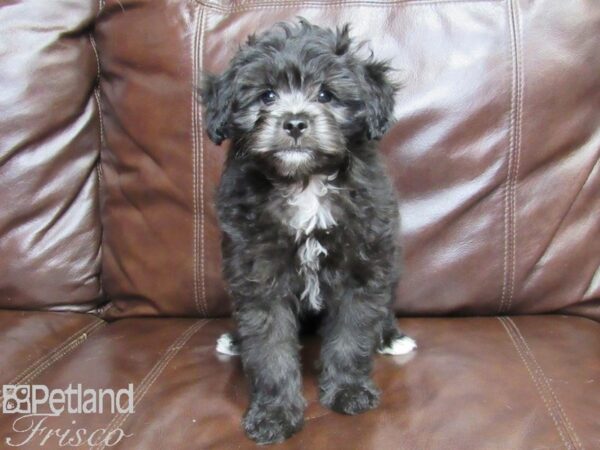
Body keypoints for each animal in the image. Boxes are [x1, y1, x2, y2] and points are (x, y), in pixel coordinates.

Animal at [204, 20, 414, 442]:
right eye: (266, 96)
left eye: (326, 95)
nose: (295, 122)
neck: (305, 182)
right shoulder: (259, 277)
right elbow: (269, 349)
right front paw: (274, 414)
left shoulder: (362, 268)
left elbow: (352, 334)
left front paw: (348, 390)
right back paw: (234, 338)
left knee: (382, 310)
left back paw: (390, 336)